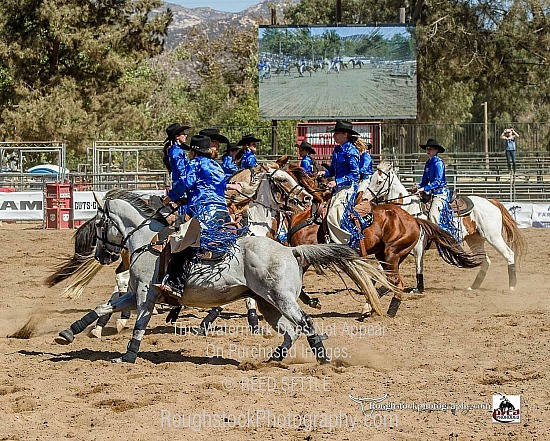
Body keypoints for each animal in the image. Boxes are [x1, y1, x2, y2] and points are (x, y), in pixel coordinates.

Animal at [55, 189, 392, 364]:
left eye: (99, 223)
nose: (103, 256)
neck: (148, 243)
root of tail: (291, 251)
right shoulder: (133, 294)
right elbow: (102, 307)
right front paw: (69, 333)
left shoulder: (145, 296)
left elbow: (139, 325)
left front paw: (127, 356)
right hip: (269, 304)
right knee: (290, 329)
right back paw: (273, 357)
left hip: (281, 299)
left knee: (305, 323)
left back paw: (322, 360)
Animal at [364, 162, 528, 292]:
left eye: (379, 181)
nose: (365, 198)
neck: (408, 210)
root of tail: (491, 202)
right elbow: (381, 267)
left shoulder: (418, 247)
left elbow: (418, 266)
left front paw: (419, 289)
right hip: (475, 239)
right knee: (485, 261)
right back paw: (473, 286)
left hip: (493, 237)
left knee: (509, 254)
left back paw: (512, 286)